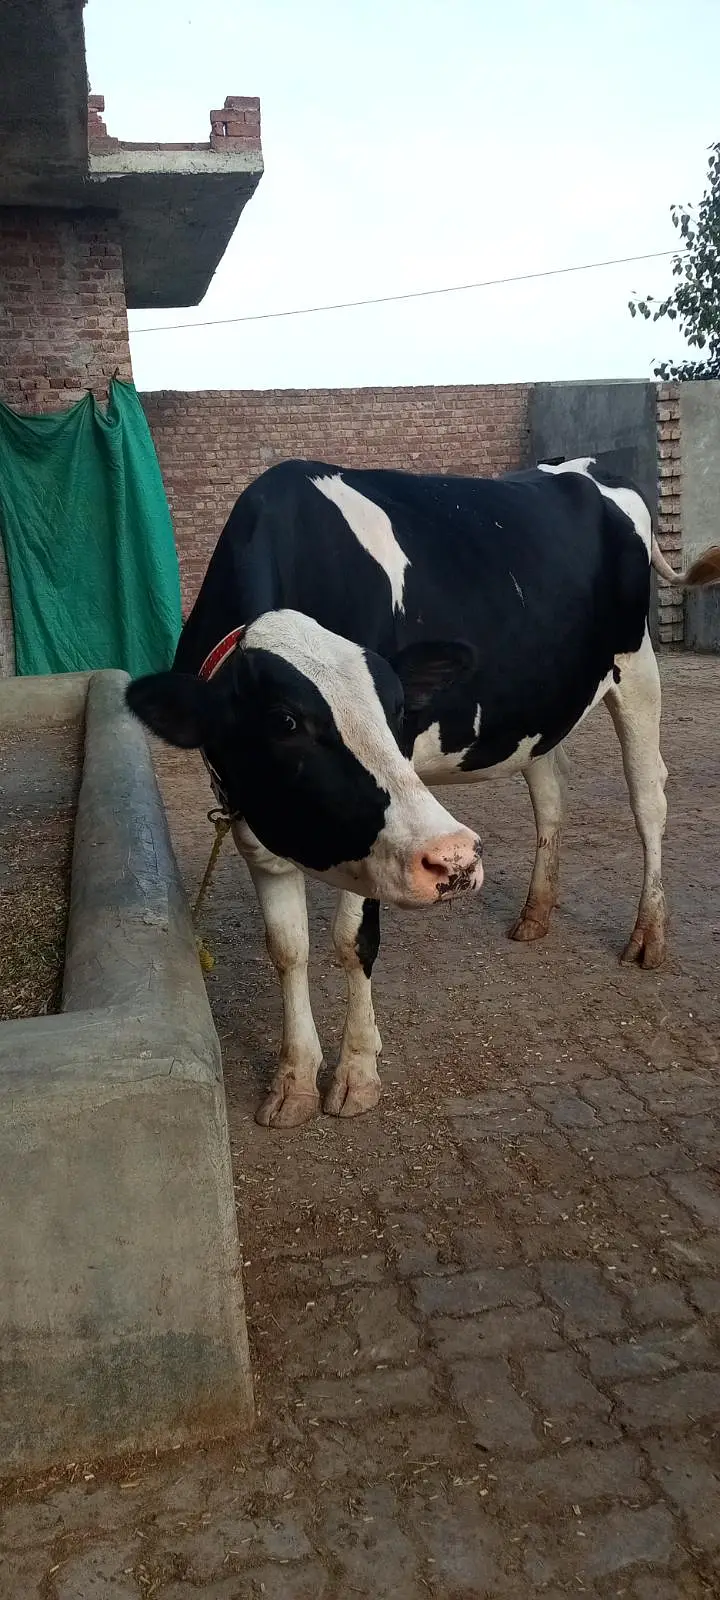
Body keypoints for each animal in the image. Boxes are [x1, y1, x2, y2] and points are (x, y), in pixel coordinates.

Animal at [126, 456, 720, 1129]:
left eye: (399, 710)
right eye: (285, 722)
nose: (456, 859)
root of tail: (589, 465)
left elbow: (351, 942)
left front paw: (356, 1074)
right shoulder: (259, 817)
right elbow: (288, 949)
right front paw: (294, 1081)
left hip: (637, 669)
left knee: (649, 798)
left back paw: (648, 934)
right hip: (538, 711)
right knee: (551, 793)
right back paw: (535, 914)